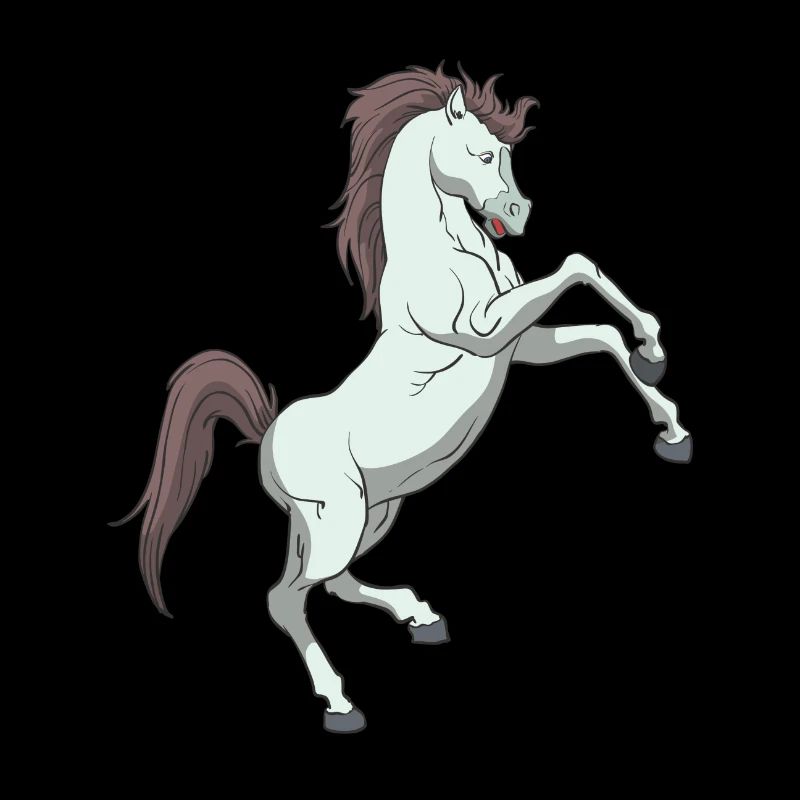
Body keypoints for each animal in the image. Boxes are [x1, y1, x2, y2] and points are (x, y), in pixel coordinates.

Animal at [114, 64, 692, 734]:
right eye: (483, 152)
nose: (518, 212)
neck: (448, 254)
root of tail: (268, 437)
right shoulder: (487, 330)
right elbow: (577, 265)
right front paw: (656, 359)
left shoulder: (517, 347)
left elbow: (601, 333)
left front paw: (668, 410)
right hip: (337, 519)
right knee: (287, 598)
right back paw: (342, 704)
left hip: (369, 514)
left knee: (331, 584)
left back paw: (422, 617)